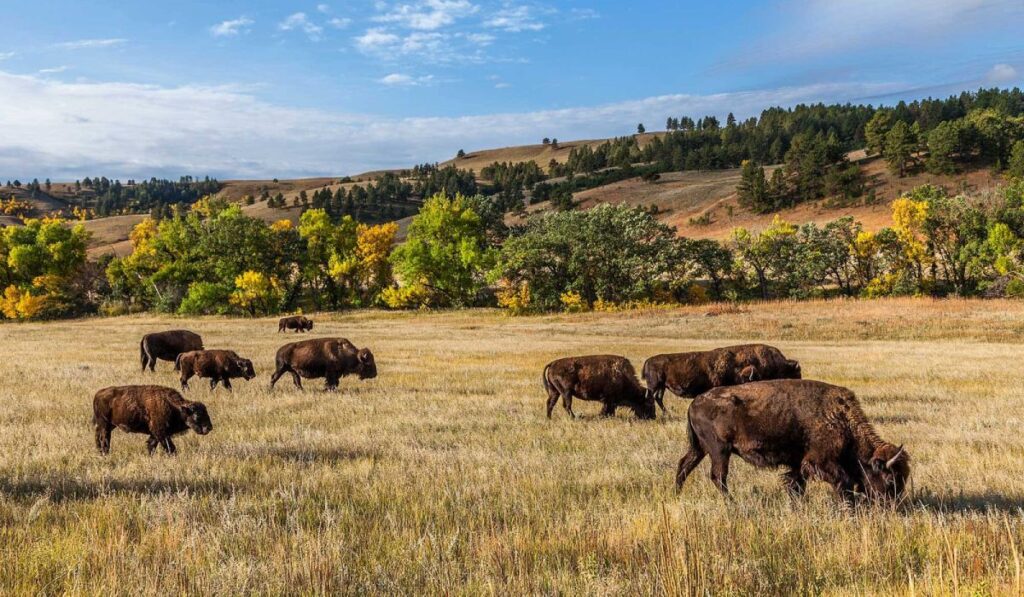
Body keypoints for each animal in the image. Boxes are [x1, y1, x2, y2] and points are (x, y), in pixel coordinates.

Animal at [638, 344, 798, 413]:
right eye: (793, 374)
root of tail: (648, 361)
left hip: (662, 386)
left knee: (658, 398)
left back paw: (667, 413)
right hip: (655, 385)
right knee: (650, 397)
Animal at [675, 378, 909, 503]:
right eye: (890, 480)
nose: (891, 506)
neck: (840, 418)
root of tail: (695, 402)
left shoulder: (798, 464)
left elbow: (796, 484)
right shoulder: (820, 462)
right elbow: (843, 481)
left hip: (700, 449)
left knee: (684, 465)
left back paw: (676, 493)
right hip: (719, 451)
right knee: (718, 476)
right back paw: (731, 502)